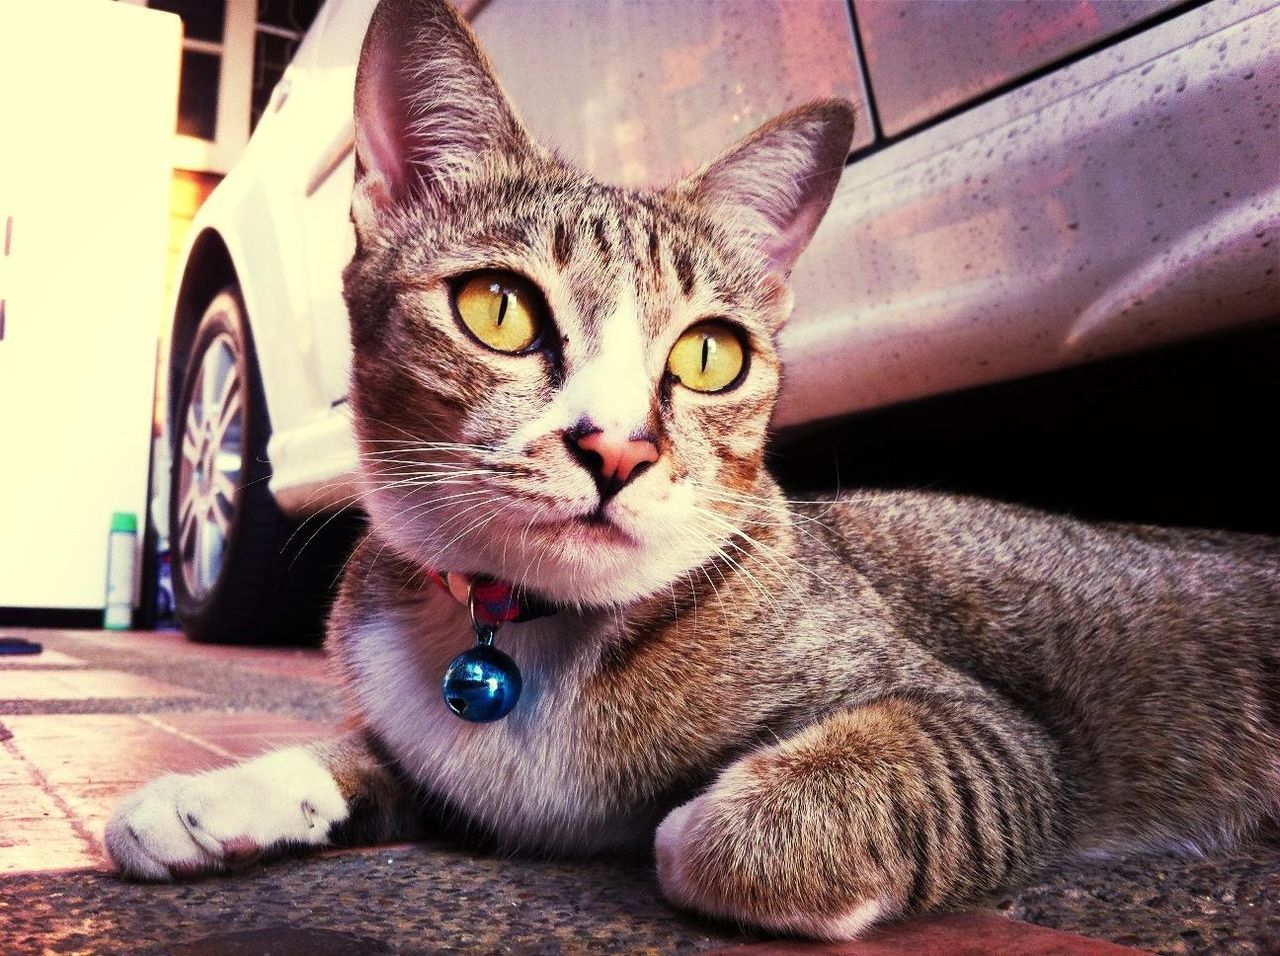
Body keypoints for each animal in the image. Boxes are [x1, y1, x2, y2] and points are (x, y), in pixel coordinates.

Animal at [102, 0, 1280, 941]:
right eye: (497, 306)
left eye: (710, 353)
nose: (618, 447)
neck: (528, 631)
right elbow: (365, 752)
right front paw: (219, 794)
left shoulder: (990, 734)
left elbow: (730, 824)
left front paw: (718, 827)